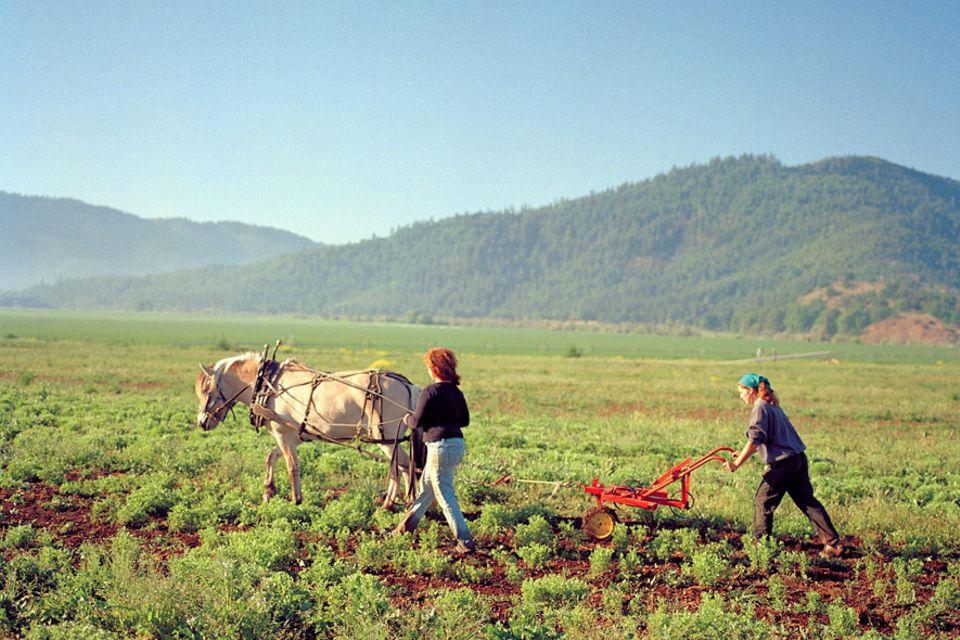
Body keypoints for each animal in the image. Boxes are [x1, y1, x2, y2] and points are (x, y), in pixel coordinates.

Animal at [195, 352, 420, 508]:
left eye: (207, 391)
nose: (201, 422)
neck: (267, 384)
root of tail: (409, 386)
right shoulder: (292, 435)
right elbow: (271, 457)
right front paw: (268, 491)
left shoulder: (283, 435)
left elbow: (291, 466)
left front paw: (296, 499)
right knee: (405, 467)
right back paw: (408, 501)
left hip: (385, 438)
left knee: (401, 466)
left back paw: (392, 504)